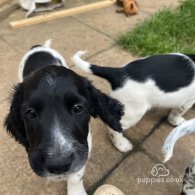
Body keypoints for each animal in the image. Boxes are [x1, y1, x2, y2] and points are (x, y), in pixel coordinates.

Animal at [3, 41, 123, 195]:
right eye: (30, 112)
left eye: (77, 108)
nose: (57, 165)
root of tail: (38, 47)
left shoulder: (84, 149)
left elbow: (76, 175)